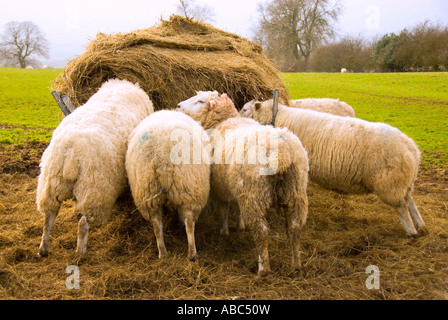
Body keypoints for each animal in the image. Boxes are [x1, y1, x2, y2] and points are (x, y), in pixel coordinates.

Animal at [36, 79, 154, 256]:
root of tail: (70, 152)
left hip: (50, 185)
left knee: (48, 217)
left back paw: (43, 248)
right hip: (95, 190)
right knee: (83, 223)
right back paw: (81, 251)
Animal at [125, 110, 211, 260]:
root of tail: (161, 155)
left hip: (148, 193)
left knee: (156, 225)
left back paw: (163, 253)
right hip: (188, 188)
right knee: (189, 223)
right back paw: (192, 254)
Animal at [177, 90, 310, 276]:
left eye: (201, 101)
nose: (178, 106)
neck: (224, 120)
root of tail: (281, 153)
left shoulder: (221, 186)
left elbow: (224, 209)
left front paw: (224, 231)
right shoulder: (238, 188)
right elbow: (237, 208)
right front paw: (240, 225)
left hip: (255, 196)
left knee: (261, 233)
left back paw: (263, 269)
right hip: (295, 193)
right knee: (295, 229)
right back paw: (296, 265)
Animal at [242, 100, 428, 238]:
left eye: (244, 109)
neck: (279, 115)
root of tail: (412, 149)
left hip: (389, 182)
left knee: (402, 206)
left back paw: (412, 231)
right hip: (403, 181)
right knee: (409, 200)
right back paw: (421, 226)